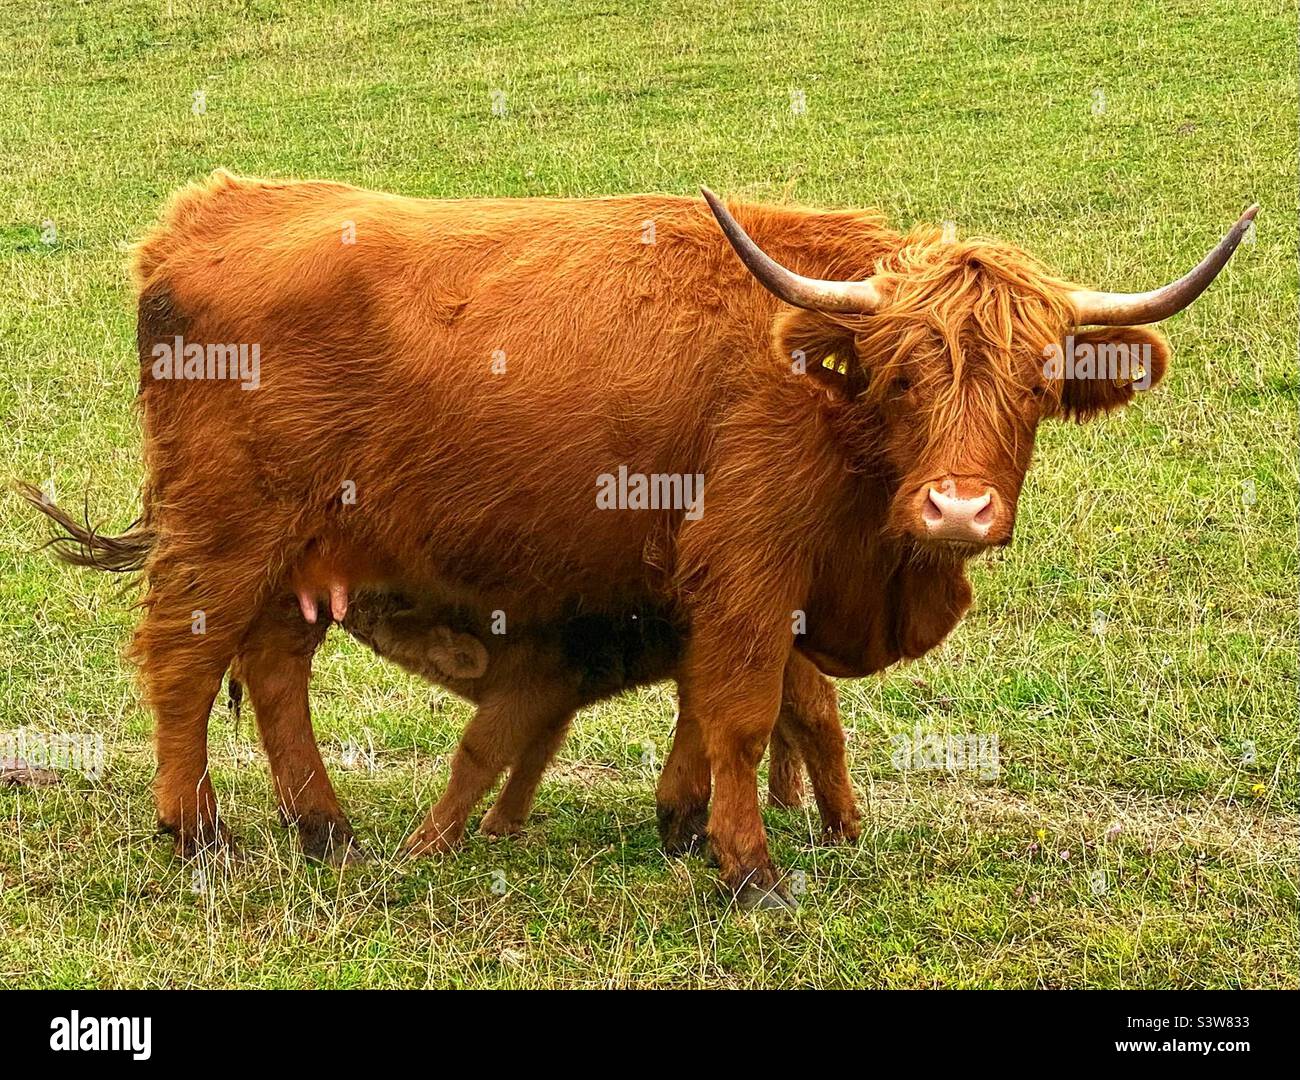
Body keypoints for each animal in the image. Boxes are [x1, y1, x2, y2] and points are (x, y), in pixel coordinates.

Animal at [20, 169, 1254, 908]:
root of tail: (213, 209)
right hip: (224, 535)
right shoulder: (749, 566)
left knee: (275, 669)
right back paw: (198, 837)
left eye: (1035, 385)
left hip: (301, 553)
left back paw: (326, 831)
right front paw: (750, 869)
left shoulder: (752, 590)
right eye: (903, 374)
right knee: (184, 664)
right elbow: (747, 711)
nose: (957, 510)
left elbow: (769, 712)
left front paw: (713, 825)